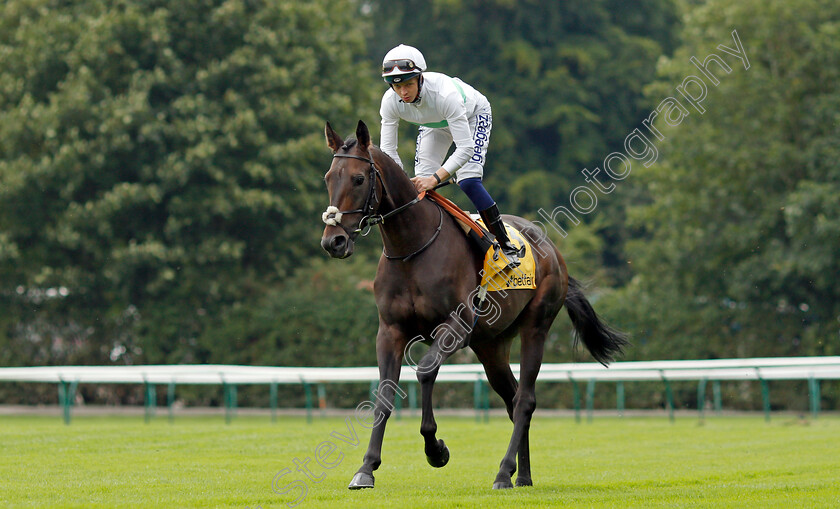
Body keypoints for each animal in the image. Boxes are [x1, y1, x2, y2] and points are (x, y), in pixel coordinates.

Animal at [322, 121, 632, 490]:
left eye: (358, 179)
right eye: (328, 177)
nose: (333, 241)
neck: (411, 248)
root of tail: (553, 251)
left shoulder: (456, 326)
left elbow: (425, 370)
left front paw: (436, 449)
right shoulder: (390, 330)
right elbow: (383, 394)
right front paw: (366, 468)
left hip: (535, 327)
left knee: (525, 399)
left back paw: (503, 472)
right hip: (491, 345)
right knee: (512, 398)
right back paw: (521, 475)